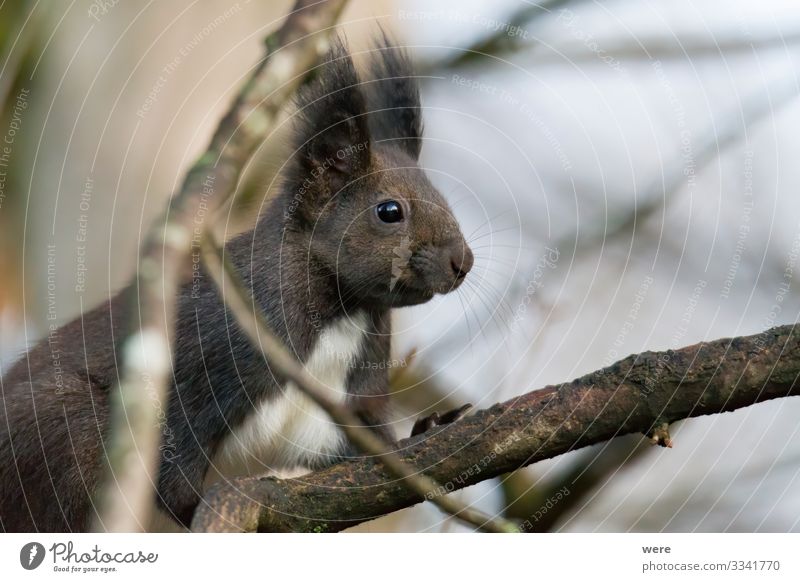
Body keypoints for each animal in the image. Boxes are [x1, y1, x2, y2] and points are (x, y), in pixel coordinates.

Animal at [0, 36, 472, 536]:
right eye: (389, 211)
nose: (462, 262)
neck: (343, 311)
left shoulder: (348, 397)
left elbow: (368, 447)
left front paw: (428, 429)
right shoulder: (205, 358)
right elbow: (178, 457)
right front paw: (191, 509)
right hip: (63, 429)